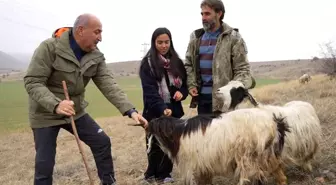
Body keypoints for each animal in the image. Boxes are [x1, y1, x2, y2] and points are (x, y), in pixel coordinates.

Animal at [133, 109, 290, 184]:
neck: (179, 133)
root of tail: (274, 123)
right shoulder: (203, 167)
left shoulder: (193, 166)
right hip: (268, 156)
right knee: (281, 177)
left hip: (250, 157)